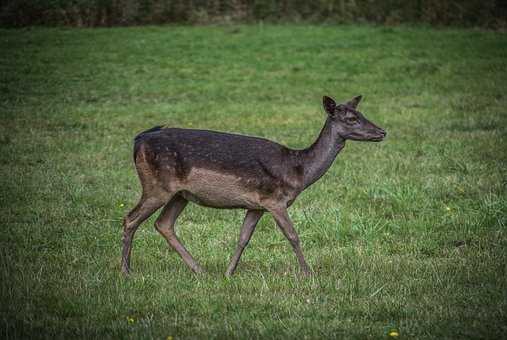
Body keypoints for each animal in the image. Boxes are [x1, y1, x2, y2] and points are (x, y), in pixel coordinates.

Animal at [121, 95, 386, 276]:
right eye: (352, 119)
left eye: (362, 114)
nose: (382, 131)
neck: (298, 172)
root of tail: (138, 140)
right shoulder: (275, 199)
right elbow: (293, 235)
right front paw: (308, 273)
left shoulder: (256, 205)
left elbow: (243, 238)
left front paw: (229, 273)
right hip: (157, 185)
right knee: (130, 218)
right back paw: (126, 271)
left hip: (180, 194)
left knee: (163, 224)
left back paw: (200, 270)